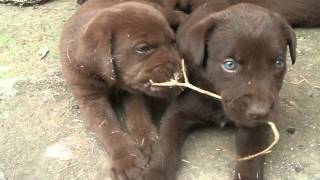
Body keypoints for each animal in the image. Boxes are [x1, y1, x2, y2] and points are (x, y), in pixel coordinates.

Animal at [59, 0, 185, 178]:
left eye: (173, 43)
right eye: (143, 48)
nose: (180, 75)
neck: (112, 82)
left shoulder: (132, 90)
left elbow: (139, 115)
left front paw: (149, 140)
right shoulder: (90, 100)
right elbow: (109, 130)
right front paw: (127, 160)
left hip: (165, 11)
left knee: (180, 15)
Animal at [141, 3, 296, 180]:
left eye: (279, 62)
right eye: (229, 65)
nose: (260, 111)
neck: (218, 101)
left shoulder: (255, 127)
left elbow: (251, 159)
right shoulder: (178, 112)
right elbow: (166, 144)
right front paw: (156, 173)